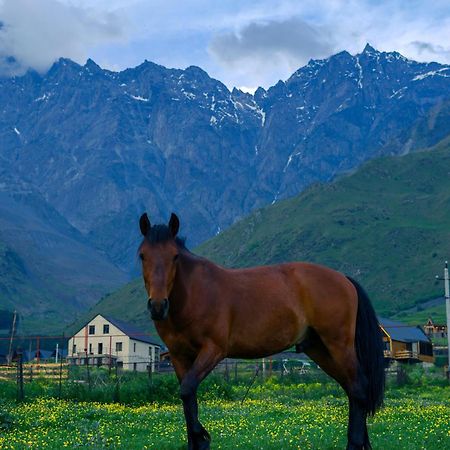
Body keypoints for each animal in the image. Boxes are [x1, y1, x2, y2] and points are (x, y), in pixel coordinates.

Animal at [137, 213, 384, 448]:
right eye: (142, 255)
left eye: (174, 256)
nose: (157, 306)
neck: (195, 294)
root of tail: (344, 279)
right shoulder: (179, 356)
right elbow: (188, 397)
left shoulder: (213, 350)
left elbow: (187, 390)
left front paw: (203, 438)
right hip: (319, 349)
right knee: (351, 388)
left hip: (338, 345)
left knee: (358, 387)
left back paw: (355, 443)